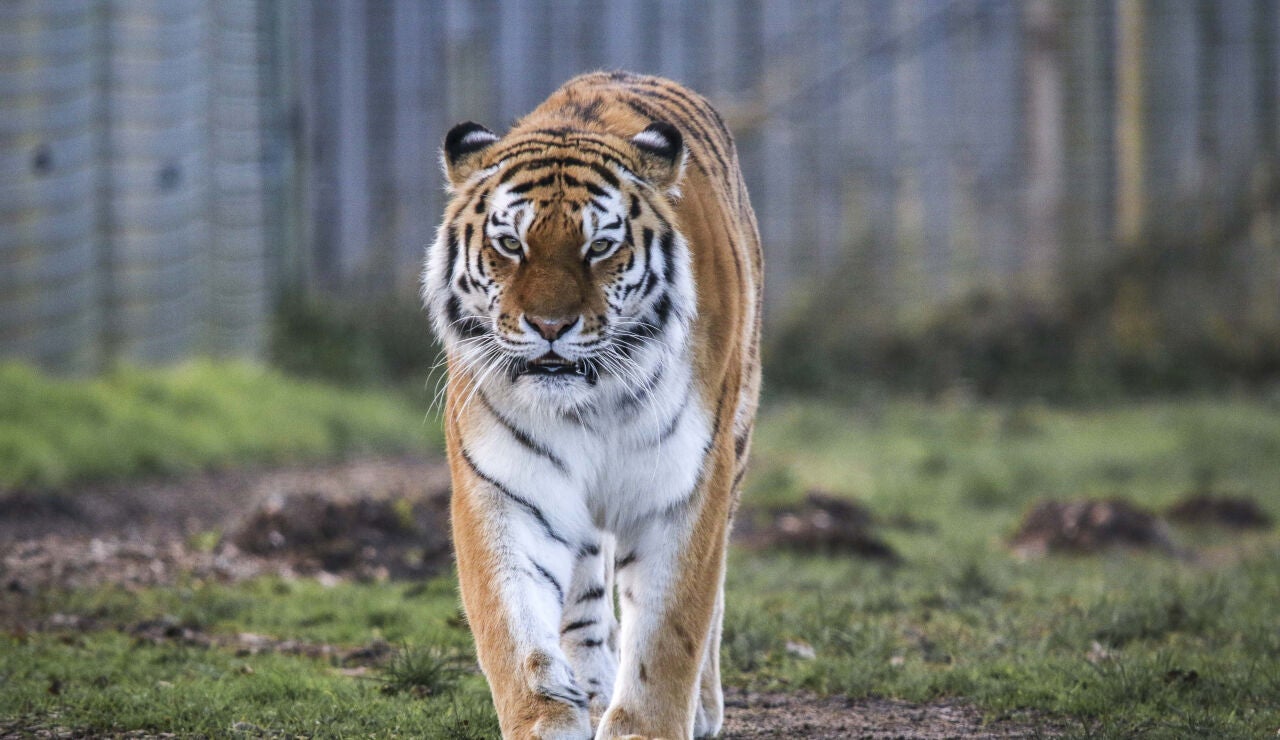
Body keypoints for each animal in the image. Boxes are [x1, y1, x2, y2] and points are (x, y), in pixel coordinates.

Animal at [423, 71, 762, 739]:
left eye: (599, 247)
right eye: (510, 244)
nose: (550, 326)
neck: (593, 402)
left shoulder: (684, 488)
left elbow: (669, 633)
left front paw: (647, 726)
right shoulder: (505, 489)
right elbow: (515, 634)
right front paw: (550, 718)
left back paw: (702, 709)